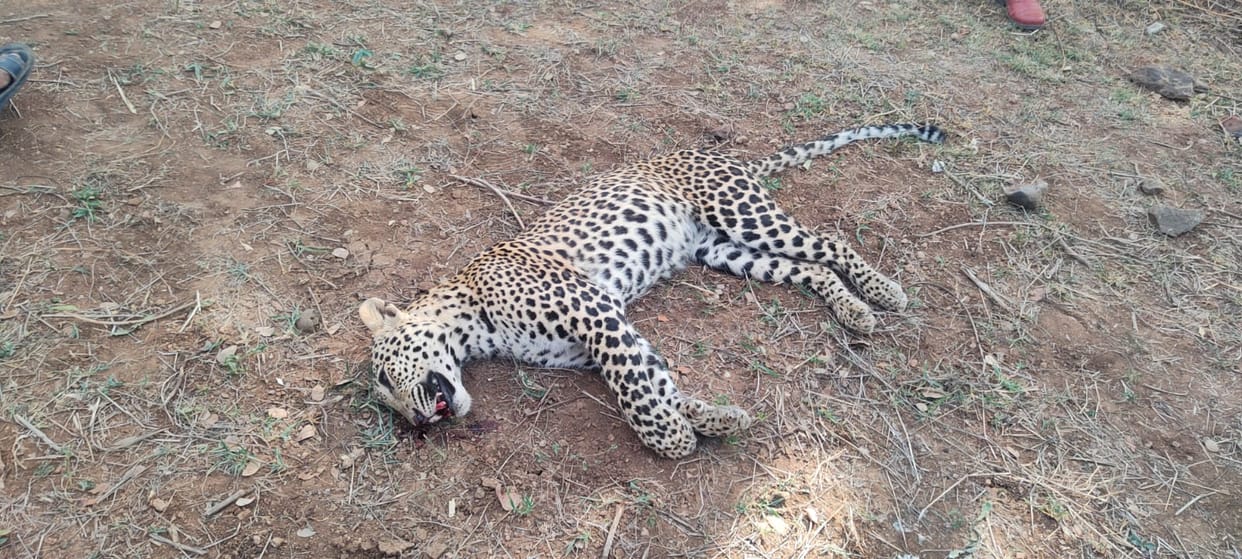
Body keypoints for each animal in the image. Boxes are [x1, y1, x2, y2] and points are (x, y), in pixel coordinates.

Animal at [359, 122, 945, 459]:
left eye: (386, 379)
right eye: (386, 400)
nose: (418, 422)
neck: (475, 325)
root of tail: (724, 157)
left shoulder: (596, 312)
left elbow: (638, 395)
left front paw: (677, 440)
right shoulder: (596, 342)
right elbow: (655, 381)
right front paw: (715, 419)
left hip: (745, 215)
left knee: (830, 242)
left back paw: (882, 293)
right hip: (727, 252)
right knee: (812, 270)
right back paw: (854, 310)